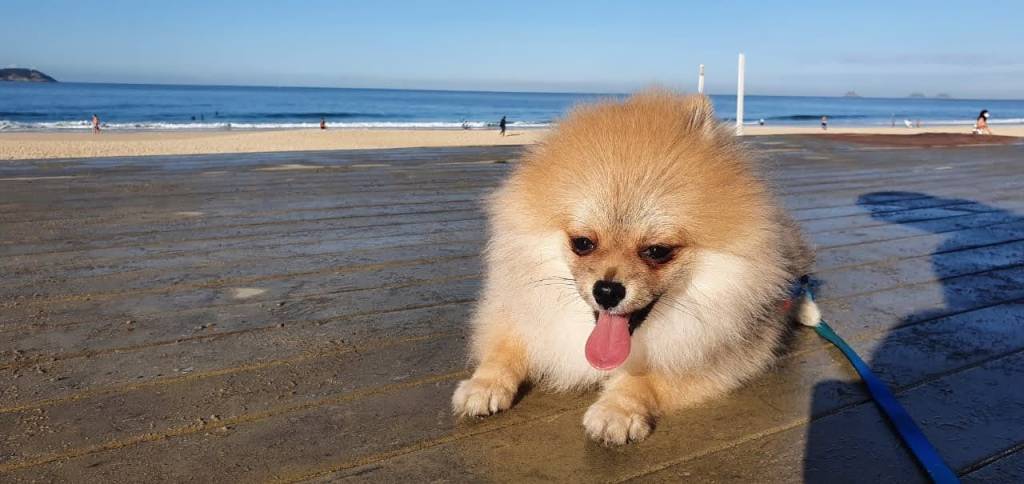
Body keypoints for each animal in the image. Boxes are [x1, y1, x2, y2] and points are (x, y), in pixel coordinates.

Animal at [452, 88, 819, 444]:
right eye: (582, 243)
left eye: (657, 251)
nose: (607, 290)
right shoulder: (519, 313)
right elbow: (504, 348)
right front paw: (485, 384)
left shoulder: (716, 353)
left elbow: (647, 377)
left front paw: (618, 409)